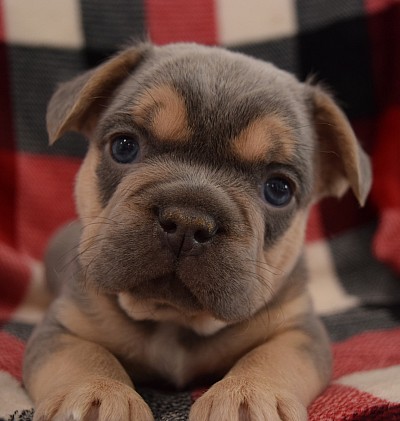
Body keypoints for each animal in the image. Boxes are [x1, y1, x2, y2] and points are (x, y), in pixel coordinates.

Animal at [22, 40, 372, 420]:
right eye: (124, 147)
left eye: (279, 189)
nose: (188, 221)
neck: (174, 318)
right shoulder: (63, 327)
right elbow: (85, 355)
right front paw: (95, 393)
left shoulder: (298, 330)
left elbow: (272, 356)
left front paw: (249, 395)